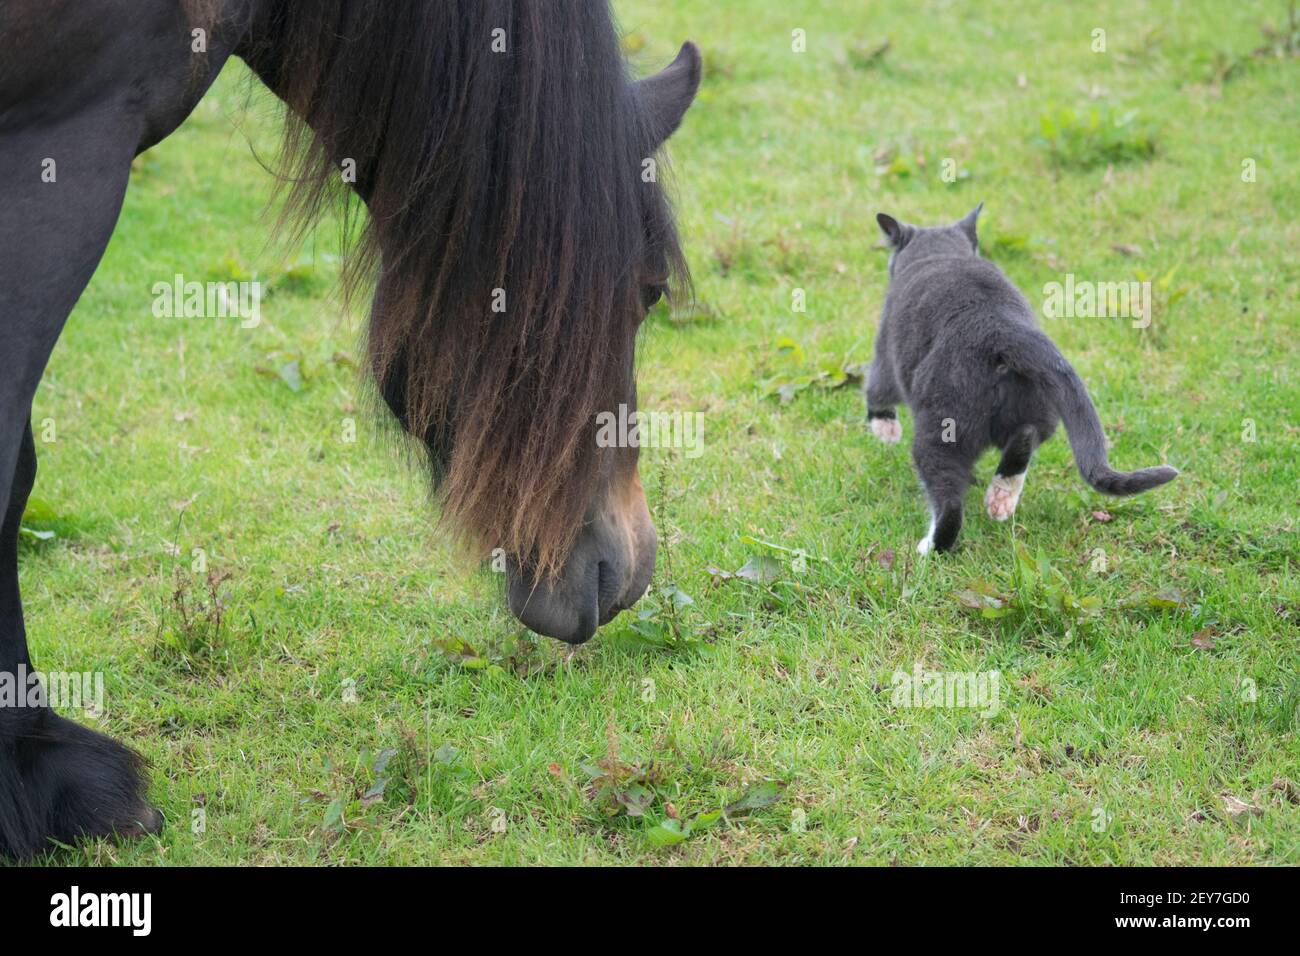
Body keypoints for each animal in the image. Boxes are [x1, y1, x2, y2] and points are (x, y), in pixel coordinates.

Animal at [863, 205, 1180, 556]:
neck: (940, 252)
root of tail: (1000, 327)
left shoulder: (886, 350)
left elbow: (877, 388)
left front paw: (884, 431)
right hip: (1038, 403)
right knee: (1025, 437)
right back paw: (1001, 497)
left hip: (944, 423)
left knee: (948, 496)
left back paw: (931, 546)